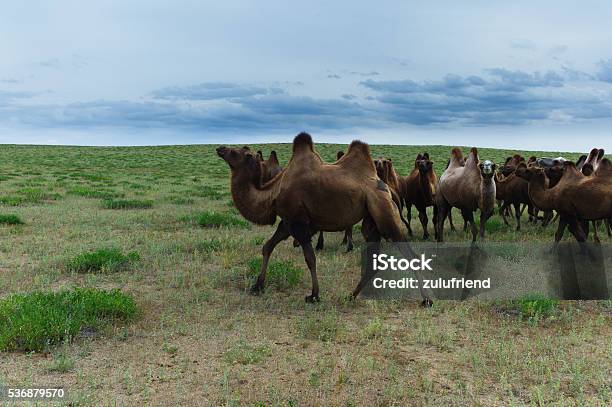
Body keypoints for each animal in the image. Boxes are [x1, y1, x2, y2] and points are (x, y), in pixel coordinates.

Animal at [216, 134, 430, 306]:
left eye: (236, 152)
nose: (220, 148)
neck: (273, 192)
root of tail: (387, 188)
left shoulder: (298, 223)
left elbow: (310, 258)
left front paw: (314, 295)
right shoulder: (287, 222)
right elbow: (267, 246)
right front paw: (258, 285)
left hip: (383, 213)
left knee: (409, 254)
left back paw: (426, 300)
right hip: (371, 222)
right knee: (374, 260)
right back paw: (351, 296)